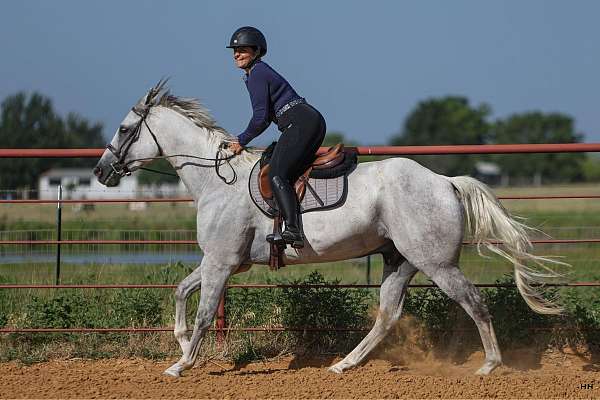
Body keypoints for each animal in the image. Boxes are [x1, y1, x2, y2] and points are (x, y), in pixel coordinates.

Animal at [94, 82, 564, 378]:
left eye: (124, 129)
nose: (101, 171)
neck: (215, 179)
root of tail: (446, 182)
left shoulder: (222, 264)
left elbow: (206, 313)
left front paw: (181, 365)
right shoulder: (220, 262)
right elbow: (180, 292)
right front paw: (180, 344)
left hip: (438, 263)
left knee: (473, 302)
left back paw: (490, 365)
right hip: (400, 261)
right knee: (387, 315)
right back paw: (343, 365)